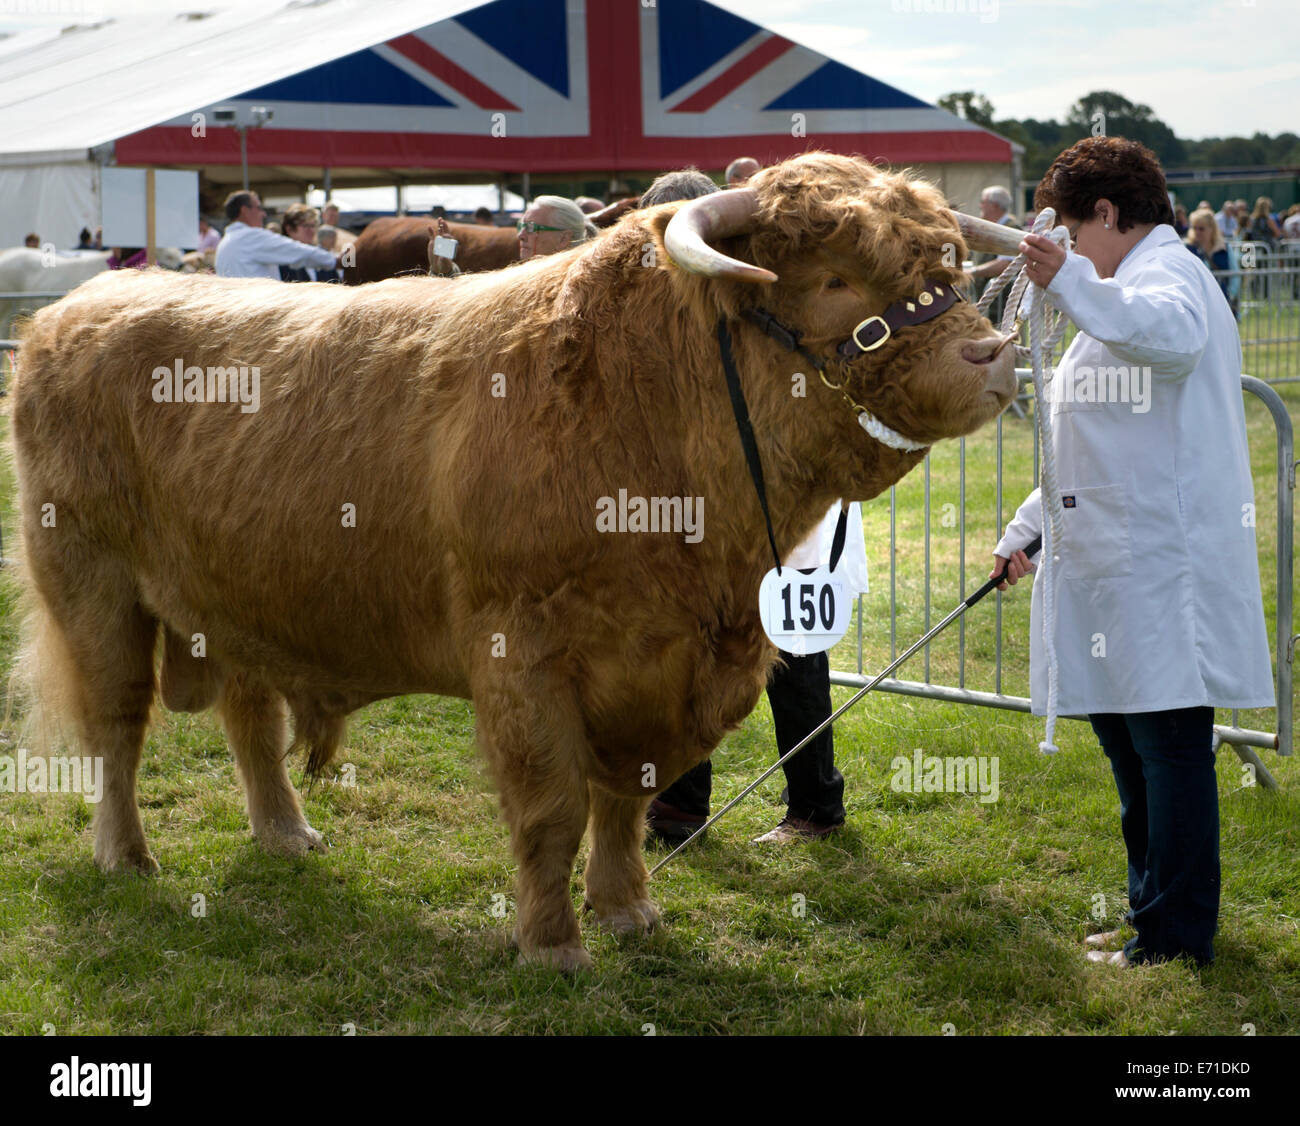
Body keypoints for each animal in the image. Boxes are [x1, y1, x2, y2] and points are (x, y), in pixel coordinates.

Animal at [12, 153, 1024, 967]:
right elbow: (552, 809)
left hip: (241, 596)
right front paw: (552, 945)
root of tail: (71, 311)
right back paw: (126, 856)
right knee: (118, 729)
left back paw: (287, 835)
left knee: (250, 721)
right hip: (92, 587)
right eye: (837, 277)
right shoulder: (523, 651)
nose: (995, 352)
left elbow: (623, 801)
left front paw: (628, 913)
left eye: (946, 262)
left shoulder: (662, 670)